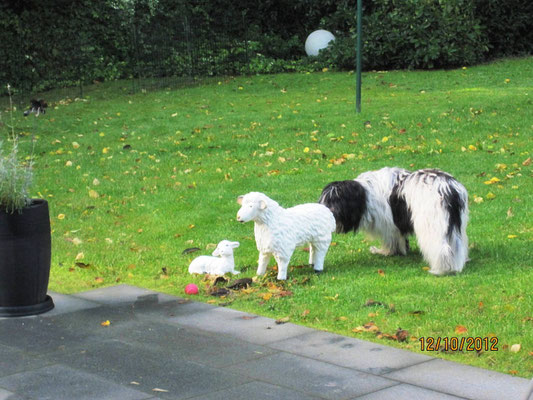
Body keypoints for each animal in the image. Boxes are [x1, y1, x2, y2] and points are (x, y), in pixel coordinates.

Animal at [318, 168, 468, 276]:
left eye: (335, 200)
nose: (326, 210)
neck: (365, 194)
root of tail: (448, 188)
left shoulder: (388, 225)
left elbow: (391, 240)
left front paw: (386, 251)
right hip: (455, 225)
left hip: (433, 224)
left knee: (441, 248)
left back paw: (441, 269)